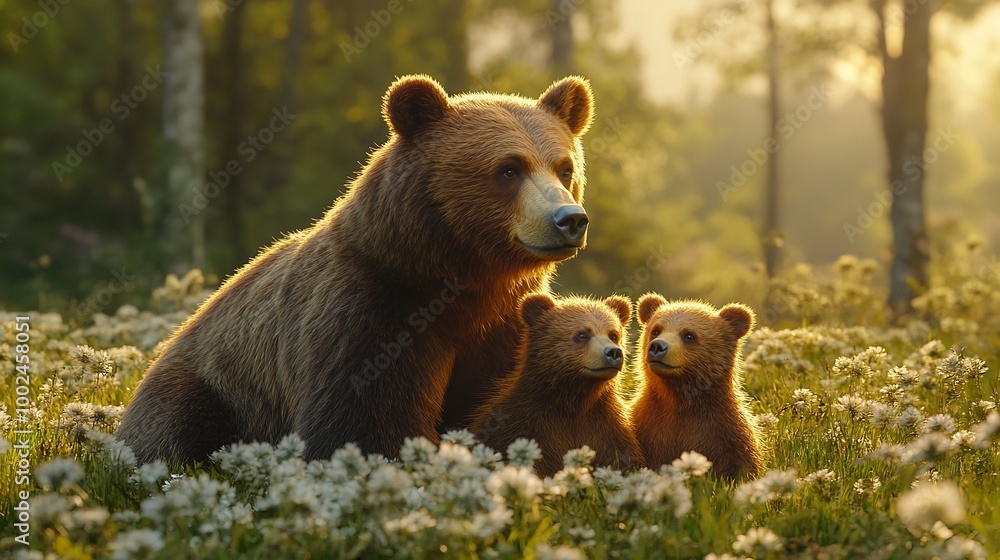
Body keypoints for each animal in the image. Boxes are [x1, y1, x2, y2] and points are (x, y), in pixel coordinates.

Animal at [117, 74, 595, 464]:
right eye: (509, 169)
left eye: (564, 167)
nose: (569, 219)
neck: (460, 276)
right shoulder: (371, 308)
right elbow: (365, 414)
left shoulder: (506, 324)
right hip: (213, 384)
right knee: (173, 426)